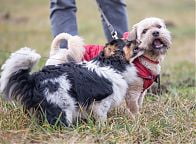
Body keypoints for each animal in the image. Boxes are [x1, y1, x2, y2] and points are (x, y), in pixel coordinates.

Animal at [0, 38, 143, 125]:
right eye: (128, 43)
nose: (139, 40)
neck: (111, 64)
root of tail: (35, 79)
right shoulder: (101, 103)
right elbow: (102, 118)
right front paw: (103, 128)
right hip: (63, 106)